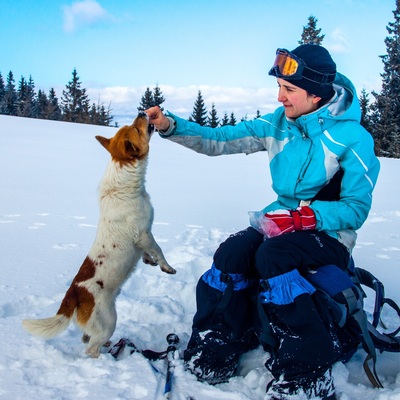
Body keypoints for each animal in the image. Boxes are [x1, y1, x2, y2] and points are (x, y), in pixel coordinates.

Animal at [21, 111, 175, 356]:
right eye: (137, 128)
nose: (143, 112)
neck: (123, 184)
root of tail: (72, 296)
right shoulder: (144, 233)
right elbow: (159, 250)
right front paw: (166, 267)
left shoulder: (143, 237)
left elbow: (148, 252)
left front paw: (148, 260)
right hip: (108, 320)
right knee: (90, 349)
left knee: (86, 338)